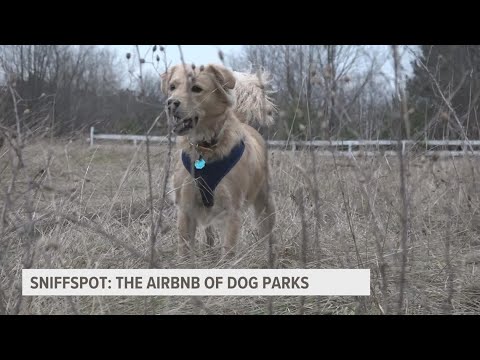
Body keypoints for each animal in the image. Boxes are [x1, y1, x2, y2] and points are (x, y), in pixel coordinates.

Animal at [160, 63, 276, 258]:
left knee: (266, 230)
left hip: (265, 201)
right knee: (209, 233)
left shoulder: (232, 210)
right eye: (172, 87)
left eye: (196, 88)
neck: (205, 147)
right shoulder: (186, 207)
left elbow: (228, 251)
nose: (170, 103)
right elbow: (184, 247)